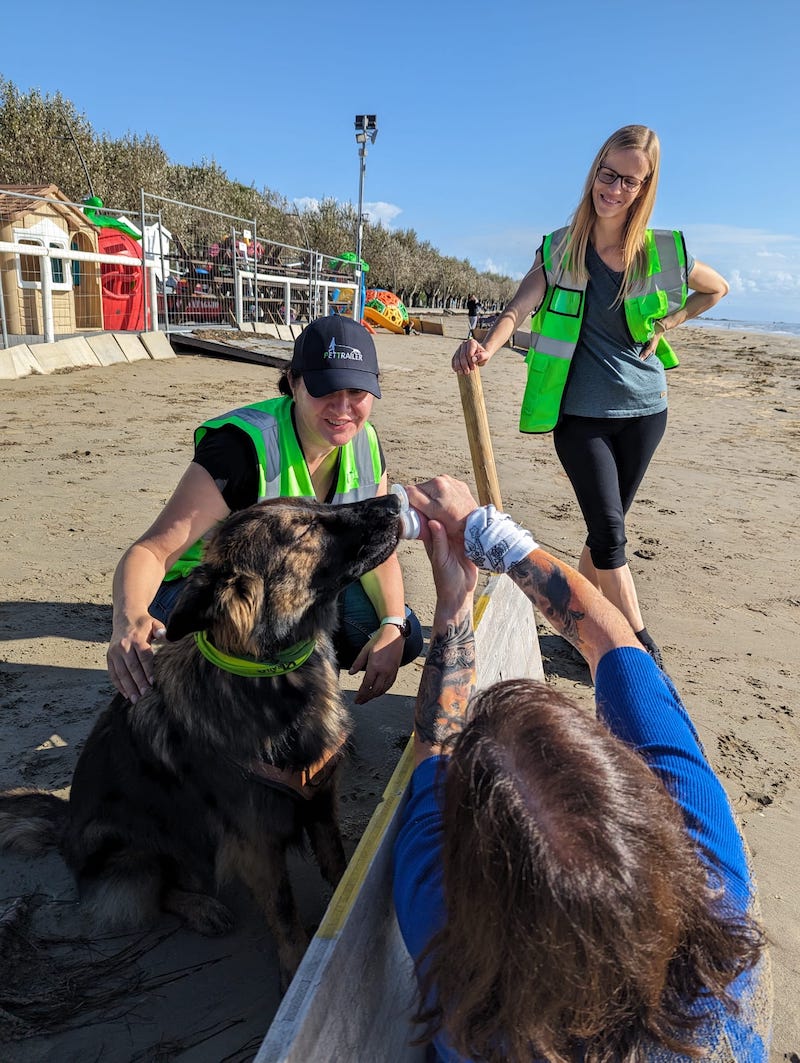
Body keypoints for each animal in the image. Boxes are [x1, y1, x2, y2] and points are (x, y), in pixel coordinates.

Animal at [0, 493, 403, 988]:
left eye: (316, 504)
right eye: (304, 529)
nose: (394, 500)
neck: (270, 677)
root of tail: (66, 831)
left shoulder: (320, 802)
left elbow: (340, 868)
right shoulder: (255, 840)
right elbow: (283, 911)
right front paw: (294, 964)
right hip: (133, 850)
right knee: (153, 892)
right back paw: (201, 907)